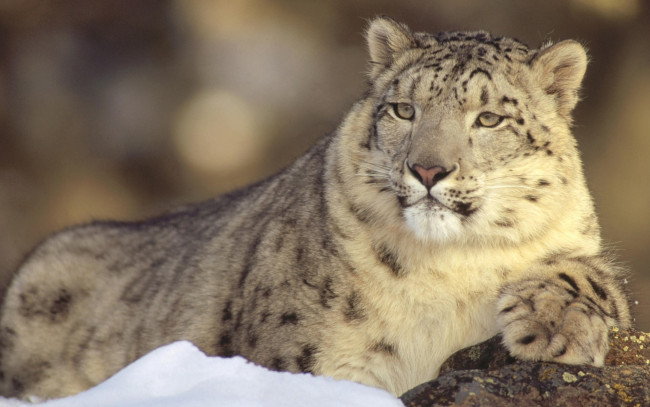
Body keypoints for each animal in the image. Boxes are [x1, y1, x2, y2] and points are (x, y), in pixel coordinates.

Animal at [0, 16, 631, 399]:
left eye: (491, 118)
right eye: (403, 109)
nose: (428, 170)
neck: (449, 270)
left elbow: (596, 278)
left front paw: (551, 328)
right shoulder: (317, 363)